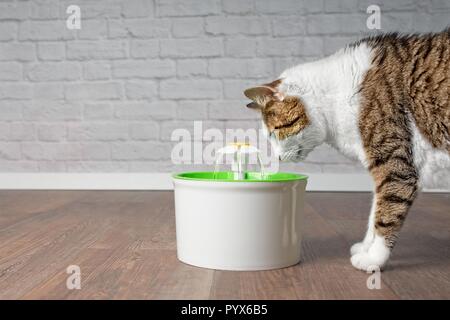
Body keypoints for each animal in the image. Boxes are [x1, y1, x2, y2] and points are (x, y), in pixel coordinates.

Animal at [246, 30, 450, 272]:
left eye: (273, 133)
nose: (277, 156)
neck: (334, 98)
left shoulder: (395, 167)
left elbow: (387, 213)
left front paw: (374, 259)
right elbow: (374, 213)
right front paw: (365, 248)